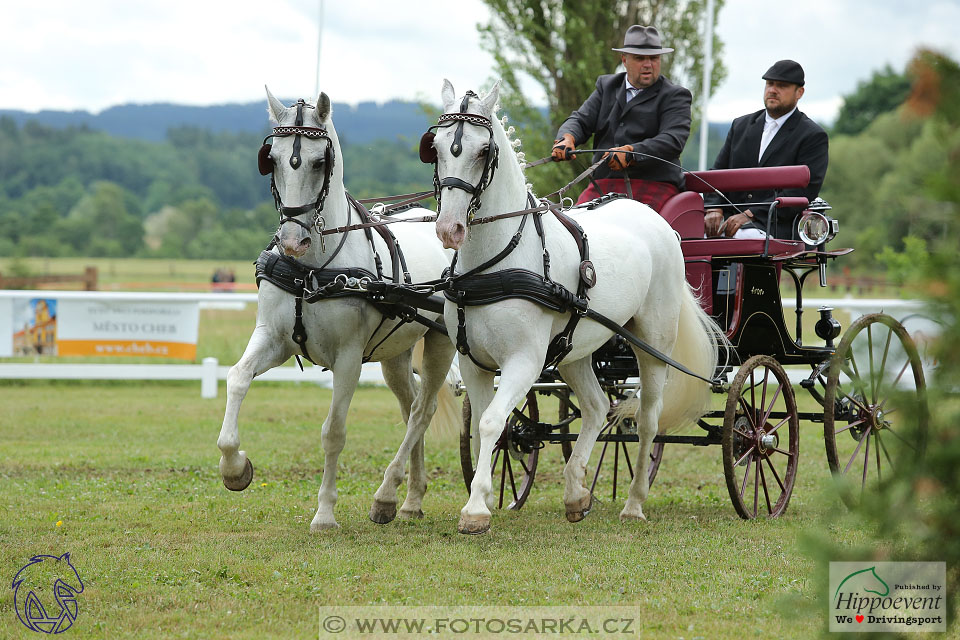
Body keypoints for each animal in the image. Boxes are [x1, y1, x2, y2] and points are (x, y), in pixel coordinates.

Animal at [218, 87, 458, 532]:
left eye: (319, 161)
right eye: (272, 158)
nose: (292, 240)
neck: (313, 268)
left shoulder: (347, 358)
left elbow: (334, 432)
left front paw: (325, 513)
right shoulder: (272, 339)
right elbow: (237, 378)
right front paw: (235, 468)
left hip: (442, 342)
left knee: (423, 410)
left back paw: (388, 496)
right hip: (396, 352)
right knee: (410, 406)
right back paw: (411, 499)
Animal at [430, 82, 720, 536]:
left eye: (483, 150)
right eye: (437, 148)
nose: (449, 228)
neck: (494, 263)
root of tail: (658, 222)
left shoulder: (524, 361)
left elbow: (493, 421)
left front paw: (476, 509)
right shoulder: (474, 362)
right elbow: (482, 426)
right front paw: (485, 496)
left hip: (654, 343)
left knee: (648, 419)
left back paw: (634, 502)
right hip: (575, 350)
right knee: (598, 407)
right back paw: (575, 493)